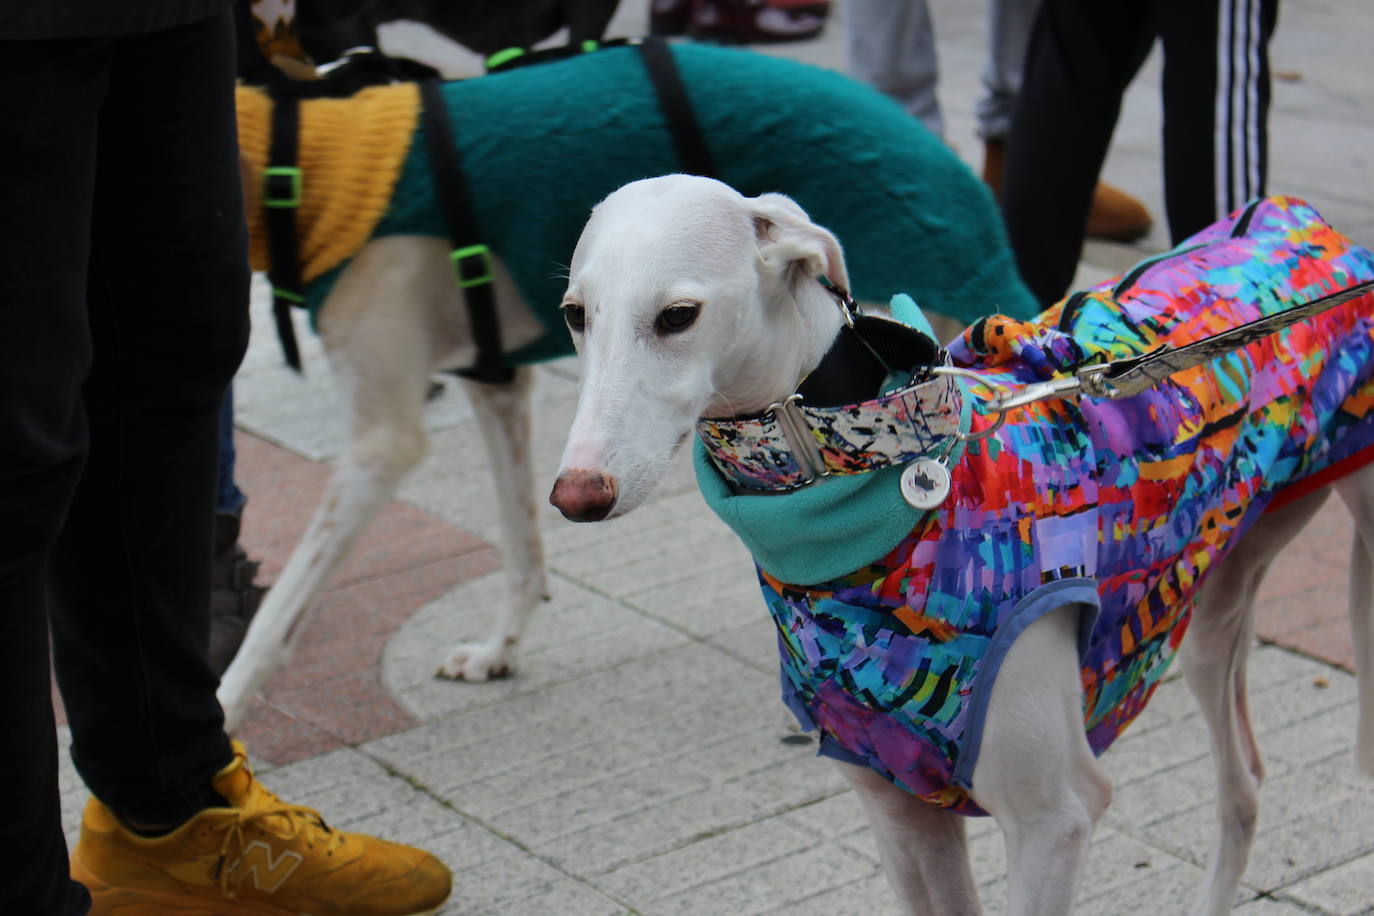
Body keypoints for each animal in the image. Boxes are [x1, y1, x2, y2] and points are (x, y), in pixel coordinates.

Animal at [546, 175, 1374, 911]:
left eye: (678, 315)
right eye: (575, 314)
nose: (577, 493)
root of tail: (1300, 217)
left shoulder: (1053, 819)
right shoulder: (899, 810)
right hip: (1214, 596)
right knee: (1245, 784)